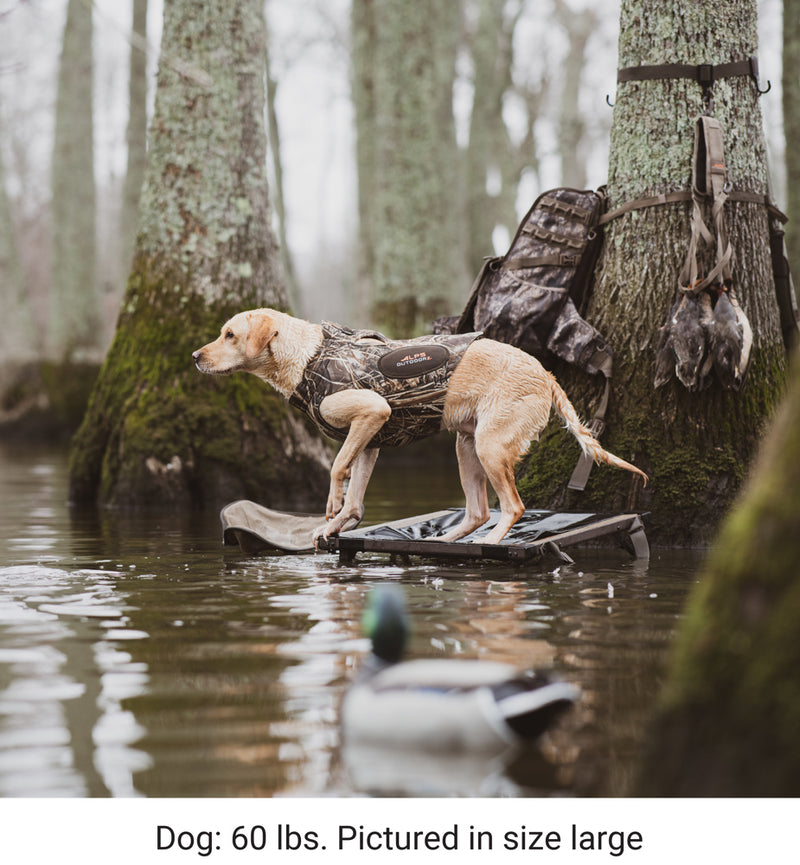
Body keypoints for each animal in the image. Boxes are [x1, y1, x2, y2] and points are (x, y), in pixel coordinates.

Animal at [192, 308, 644, 544]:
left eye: (229, 334)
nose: (195, 356)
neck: (307, 357)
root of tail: (545, 374)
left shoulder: (372, 412)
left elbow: (337, 468)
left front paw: (331, 505)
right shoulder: (370, 441)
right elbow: (356, 502)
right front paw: (336, 524)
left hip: (490, 445)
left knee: (511, 508)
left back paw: (491, 545)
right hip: (466, 446)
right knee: (478, 511)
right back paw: (444, 543)